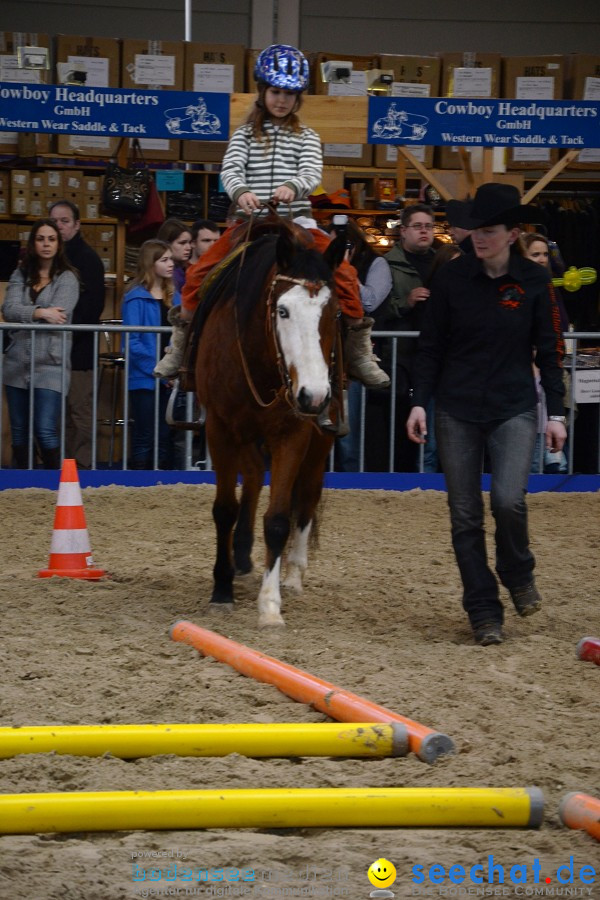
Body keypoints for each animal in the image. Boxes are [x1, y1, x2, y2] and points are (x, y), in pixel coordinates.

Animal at [195, 219, 340, 624]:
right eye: (283, 310)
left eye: (332, 312)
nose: (314, 394)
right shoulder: (219, 430)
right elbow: (225, 509)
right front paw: (222, 589)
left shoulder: (293, 433)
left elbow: (277, 519)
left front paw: (271, 603)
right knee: (254, 475)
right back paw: (241, 558)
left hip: (318, 441)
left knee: (306, 497)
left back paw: (293, 575)